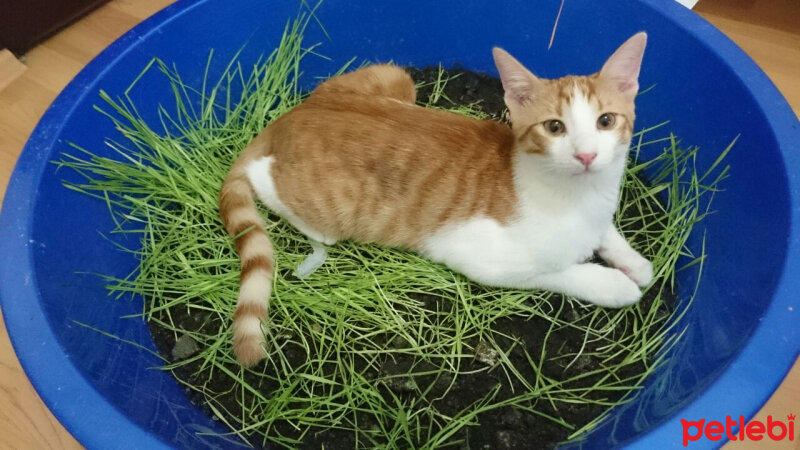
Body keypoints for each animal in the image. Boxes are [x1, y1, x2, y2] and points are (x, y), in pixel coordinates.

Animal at [219, 32, 648, 366]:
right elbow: (555, 271)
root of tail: (285, 119)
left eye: (606, 121)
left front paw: (635, 262)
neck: (577, 195)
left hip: (395, 78)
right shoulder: (480, 258)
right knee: (264, 180)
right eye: (554, 127)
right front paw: (614, 284)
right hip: (326, 208)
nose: (587, 155)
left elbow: (606, 232)